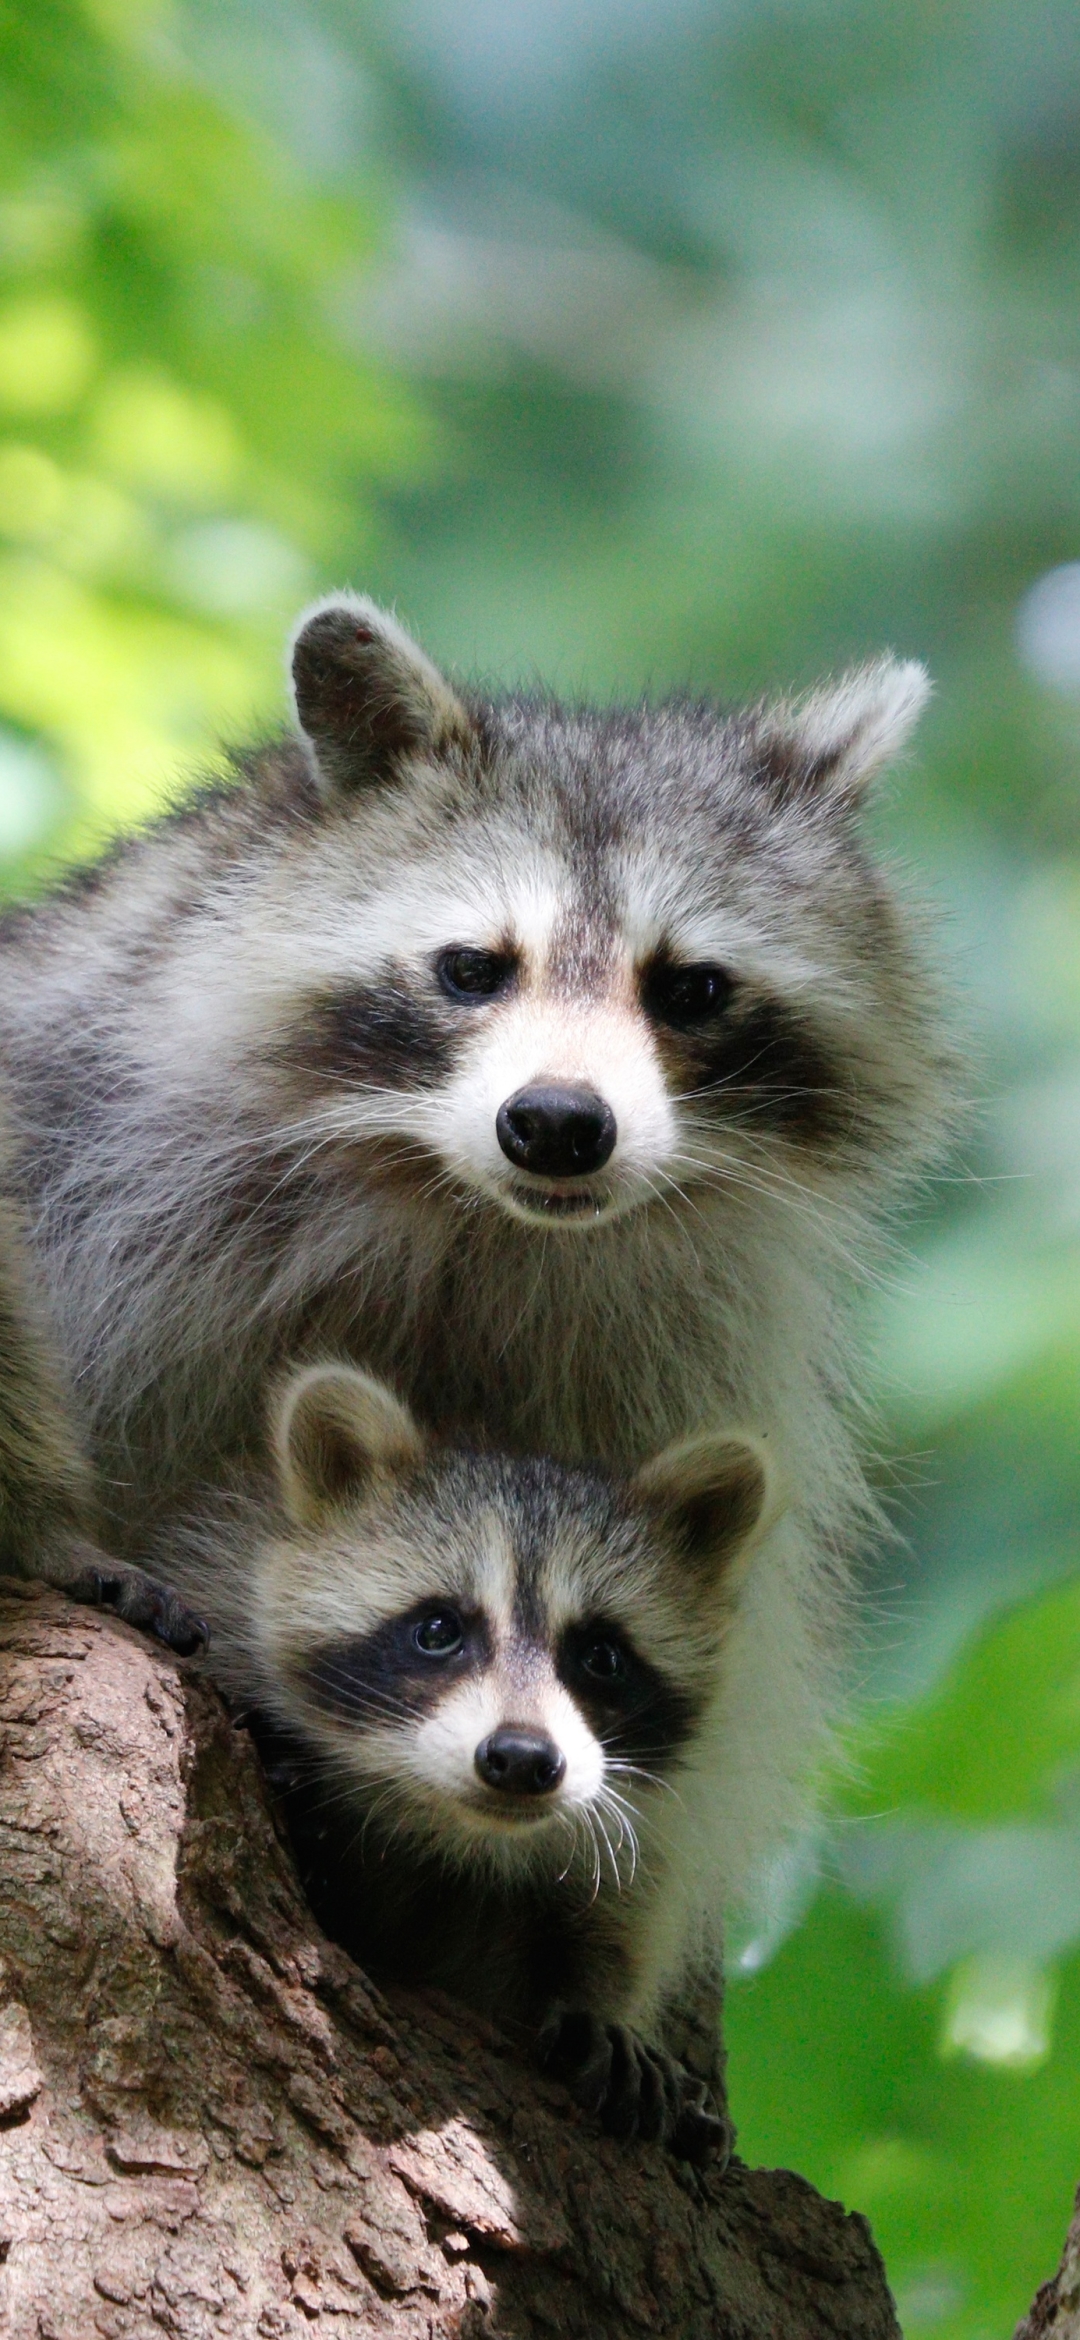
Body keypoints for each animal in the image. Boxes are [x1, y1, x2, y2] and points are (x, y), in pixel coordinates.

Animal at [157, 1366, 776, 2162]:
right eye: (438, 1629)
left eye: (601, 1656)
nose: (521, 1758)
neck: (454, 1827)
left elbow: (625, 1906)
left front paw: (601, 1999)